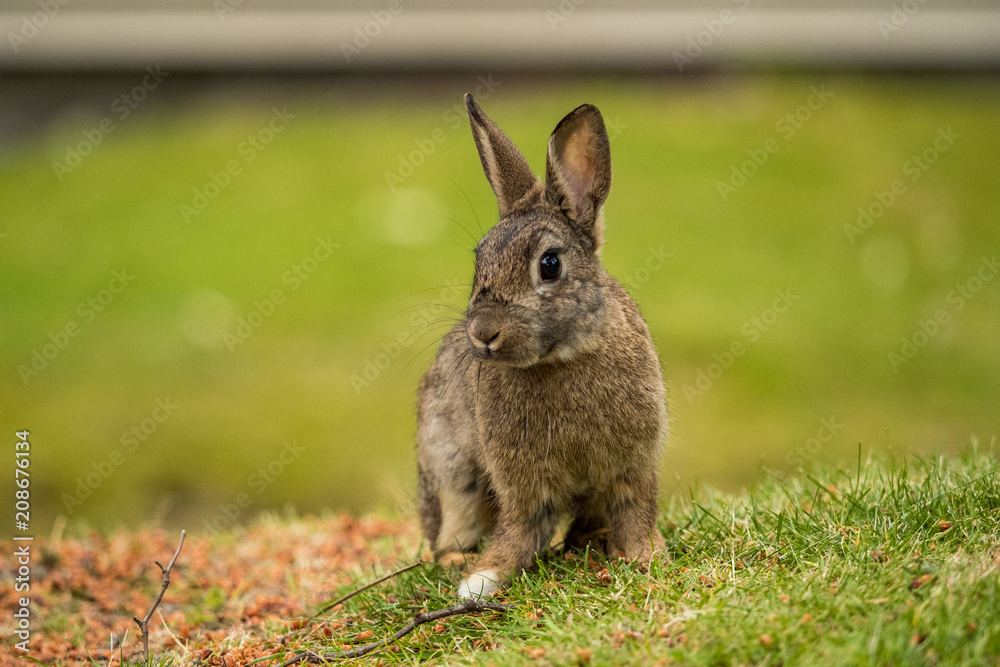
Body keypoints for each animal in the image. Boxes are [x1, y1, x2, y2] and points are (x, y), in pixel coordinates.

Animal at [416, 93, 667, 600]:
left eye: (549, 264)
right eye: (480, 262)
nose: (483, 332)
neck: (563, 357)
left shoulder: (634, 466)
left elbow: (636, 511)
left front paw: (645, 558)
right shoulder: (521, 483)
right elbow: (519, 530)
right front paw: (482, 580)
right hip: (448, 467)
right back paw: (457, 558)